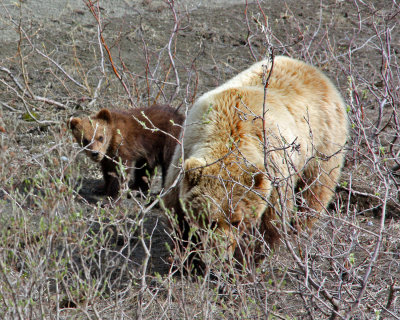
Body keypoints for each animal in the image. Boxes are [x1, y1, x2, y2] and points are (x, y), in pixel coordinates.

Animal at [164, 56, 348, 258]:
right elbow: (178, 216)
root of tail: (316, 73)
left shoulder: (275, 171)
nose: (221, 252)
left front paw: (250, 255)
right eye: (210, 220)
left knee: (315, 189)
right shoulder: (185, 151)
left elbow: (269, 225)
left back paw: (300, 228)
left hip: (322, 144)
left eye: (236, 221)